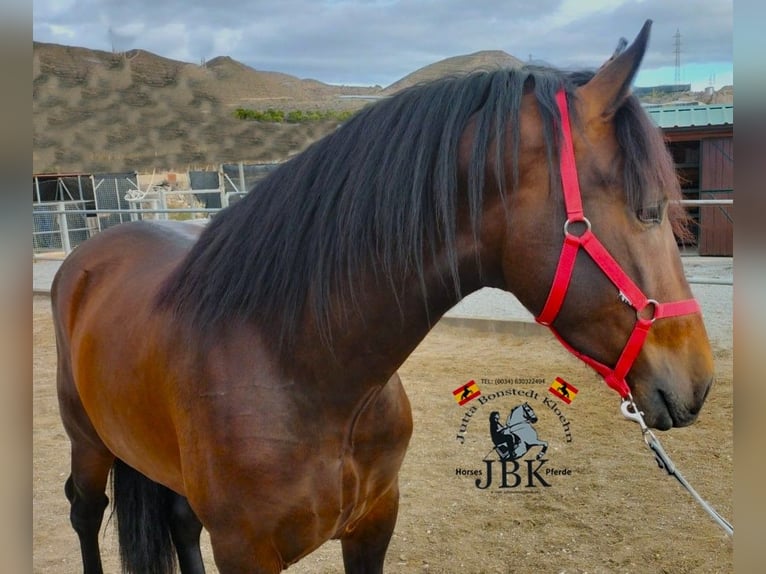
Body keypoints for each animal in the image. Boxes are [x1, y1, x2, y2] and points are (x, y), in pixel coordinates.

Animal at [51, 19, 716, 574]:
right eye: (648, 209)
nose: (700, 381)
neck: (295, 364)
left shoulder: (374, 522)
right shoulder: (245, 549)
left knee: (178, 523)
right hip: (87, 443)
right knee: (83, 512)